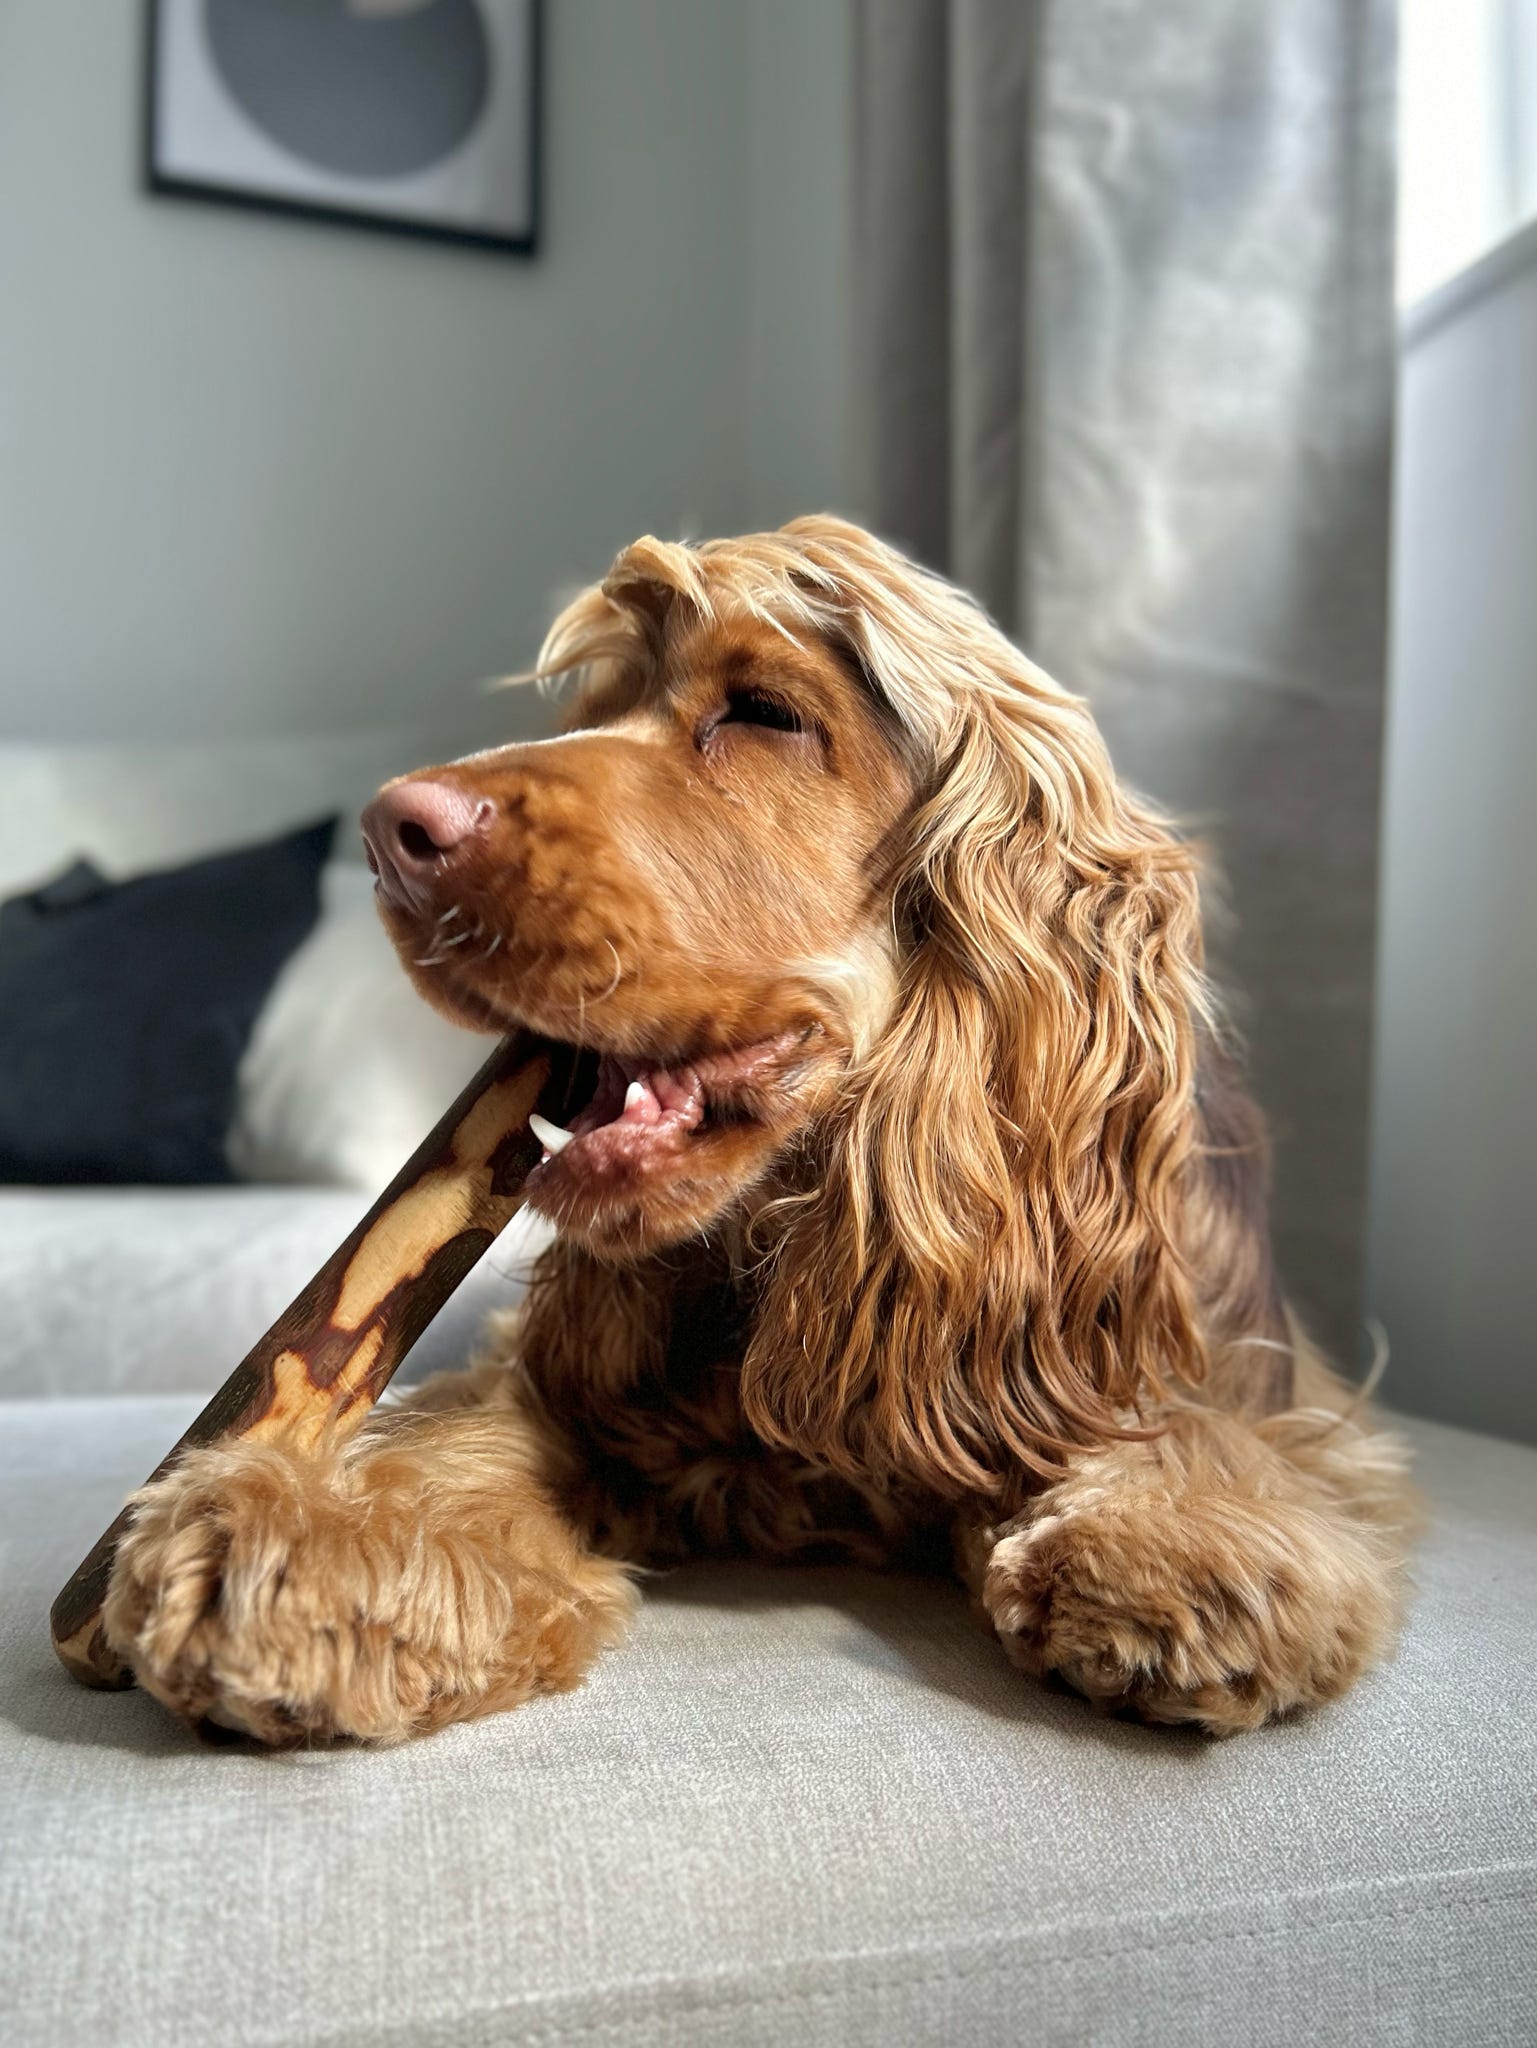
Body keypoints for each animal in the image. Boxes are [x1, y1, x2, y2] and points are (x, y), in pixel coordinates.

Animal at [103, 516, 1414, 1744]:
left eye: (765, 714)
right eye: (600, 708)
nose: (390, 830)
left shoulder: (1244, 1371)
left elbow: (1200, 1421)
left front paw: (1178, 1535)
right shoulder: (572, 1380)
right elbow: (471, 1428)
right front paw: (308, 1534)